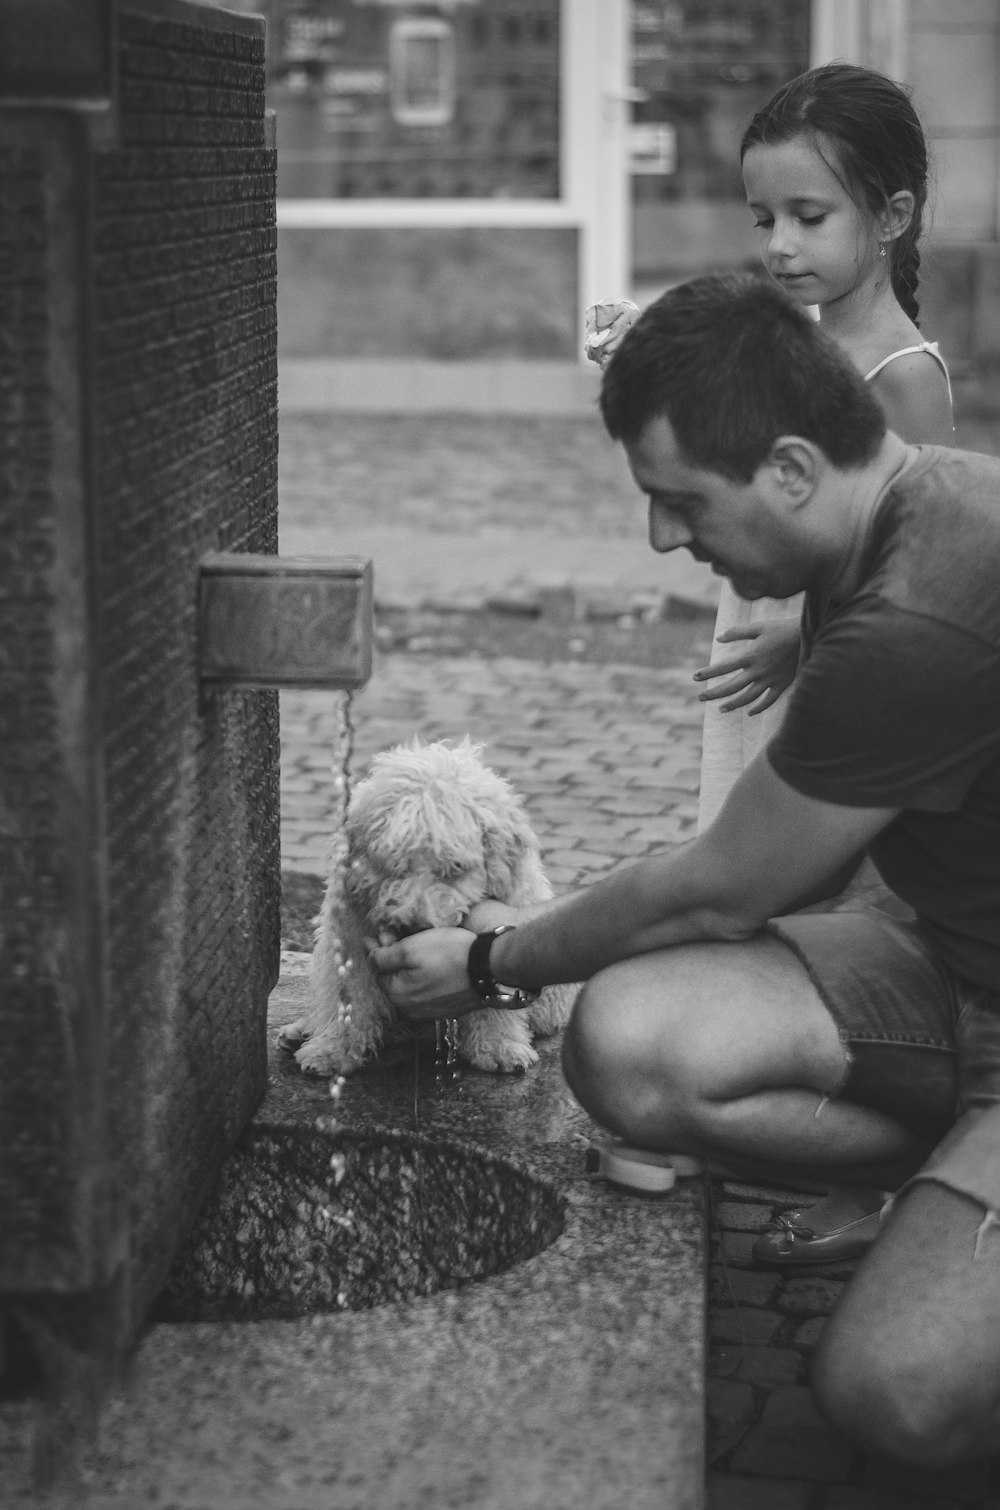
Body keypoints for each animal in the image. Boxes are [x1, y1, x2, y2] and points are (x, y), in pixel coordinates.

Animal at [279, 739, 580, 1075]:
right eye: (395, 866)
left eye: (454, 868)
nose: (414, 925)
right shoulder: (349, 935)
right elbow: (349, 996)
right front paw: (331, 1049)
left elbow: (493, 1001)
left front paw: (498, 1045)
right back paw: (301, 1031)